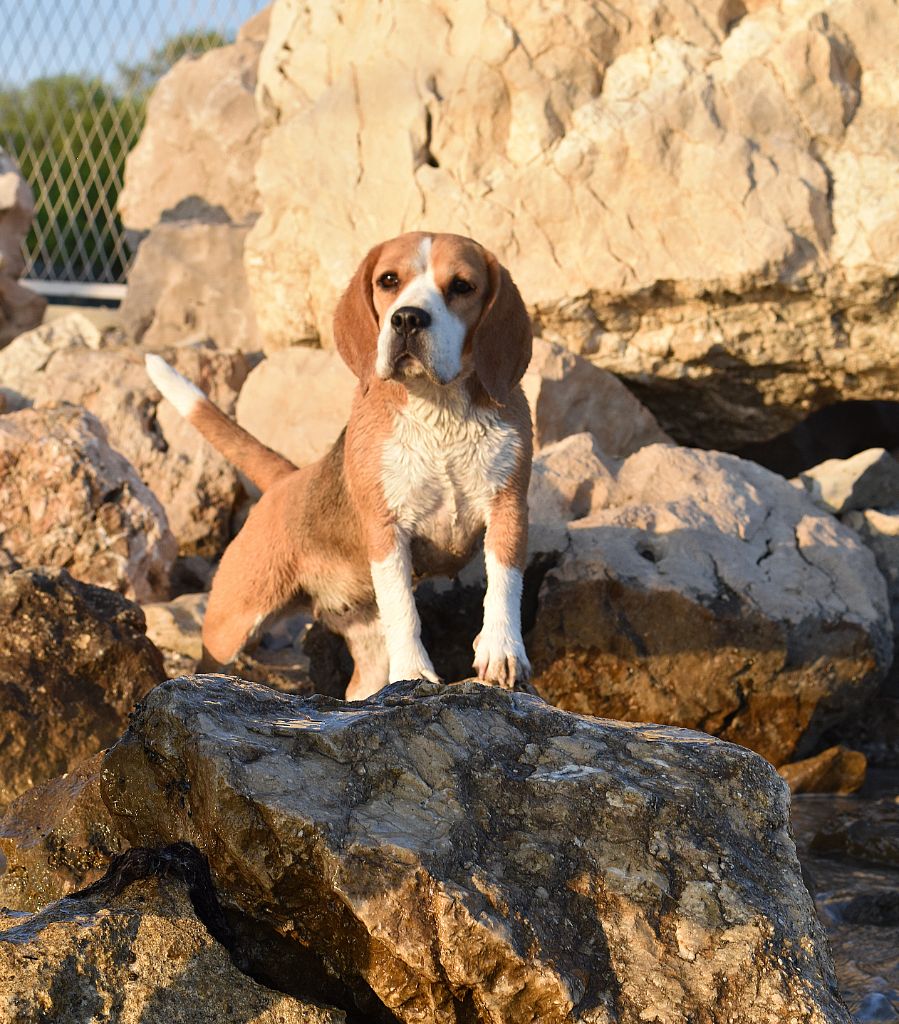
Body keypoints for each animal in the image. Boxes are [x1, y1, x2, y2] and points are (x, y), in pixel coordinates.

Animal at [144, 230, 532, 704]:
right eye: (389, 280)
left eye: (462, 286)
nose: (407, 319)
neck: (439, 411)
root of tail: (289, 477)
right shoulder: (386, 530)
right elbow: (405, 611)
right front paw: (414, 673)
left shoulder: (509, 508)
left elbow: (503, 585)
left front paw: (500, 650)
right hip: (231, 622)